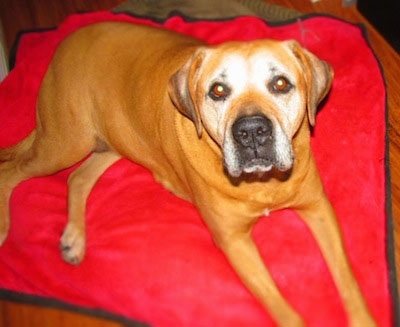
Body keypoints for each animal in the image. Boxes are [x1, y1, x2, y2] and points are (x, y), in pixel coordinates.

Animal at [0, 21, 376, 326]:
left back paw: (74, 239)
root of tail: (65, 42)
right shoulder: (234, 241)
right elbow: (281, 306)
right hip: (64, 143)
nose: (252, 132)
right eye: (218, 91)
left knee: (77, 178)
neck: (262, 185)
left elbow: (347, 278)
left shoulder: (319, 208)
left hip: (108, 142)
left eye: (281, 84)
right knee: (11, 171)